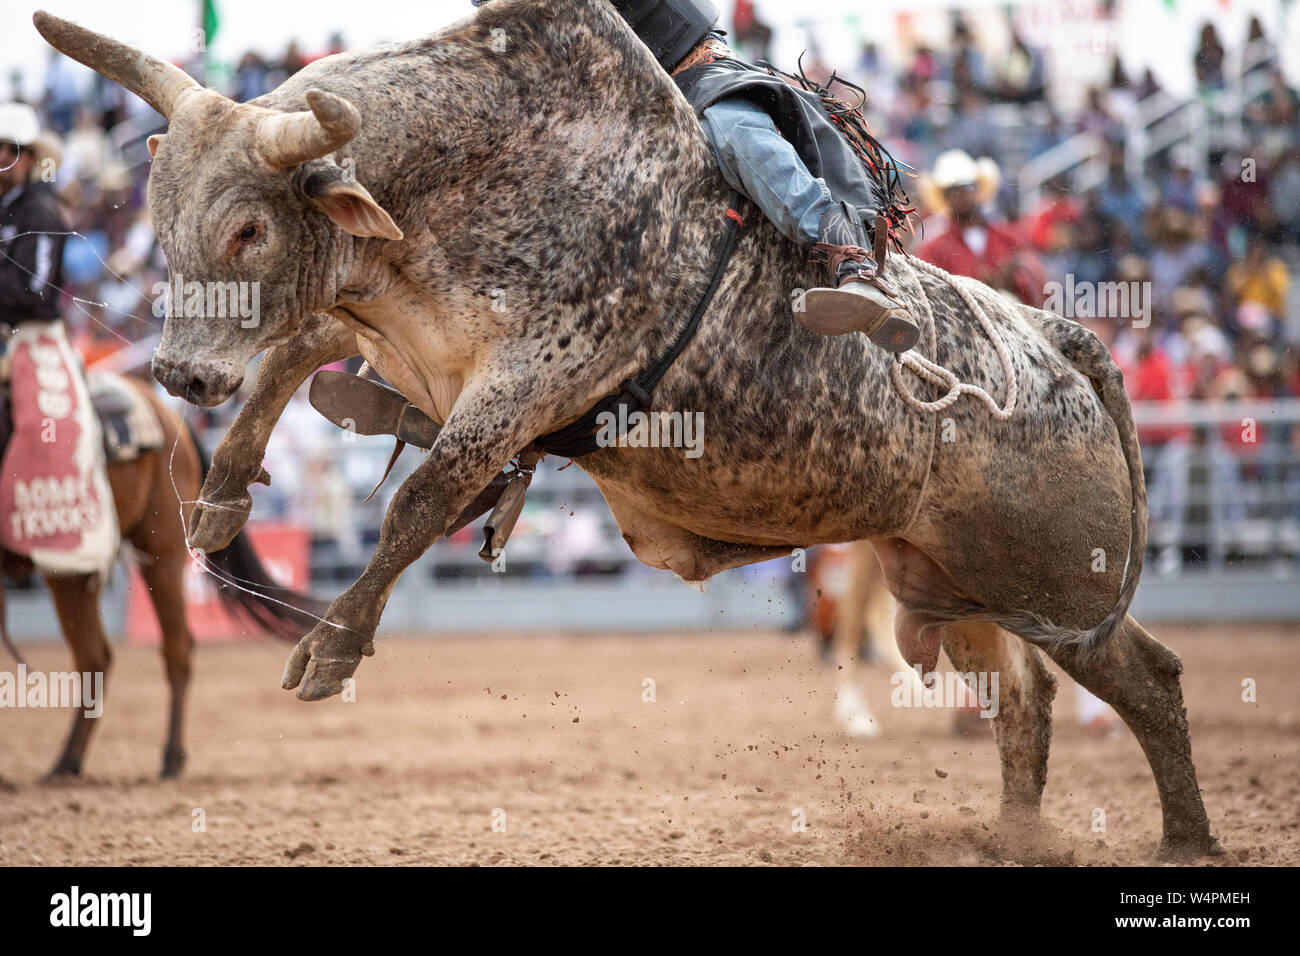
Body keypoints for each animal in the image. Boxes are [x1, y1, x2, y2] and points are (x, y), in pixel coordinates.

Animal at [35, 0, 1222, 858]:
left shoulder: (530, 377)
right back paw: (1019, 839)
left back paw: (1185, 840)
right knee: (1025, 702)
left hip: (1058, 585)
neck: (470, 175)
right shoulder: (382, 324)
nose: (179, 373)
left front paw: (331, 644)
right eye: (159, 216)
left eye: (247, 226)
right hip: (951, 586)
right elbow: (292, 356)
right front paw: (221, 495)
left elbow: (422, 496)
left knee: (1151, 677)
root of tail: (1055, 341)